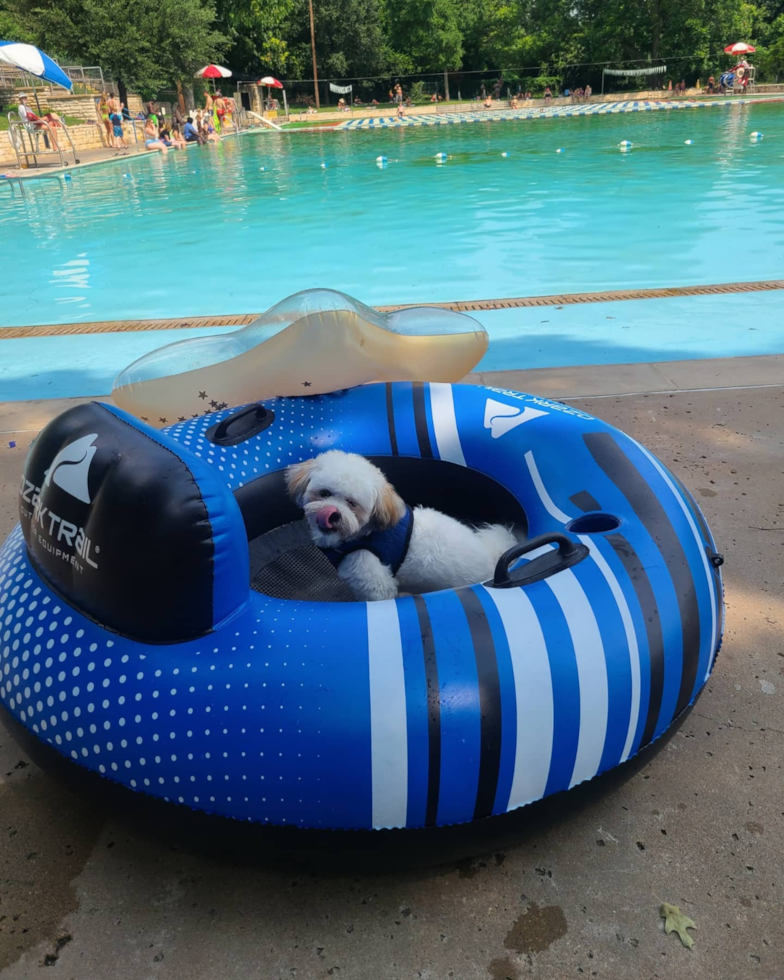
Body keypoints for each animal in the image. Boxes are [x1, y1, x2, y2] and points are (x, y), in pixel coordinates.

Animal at [284, 450, 516, 600]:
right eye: (324, 493)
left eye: (352, 503)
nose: (333, 514)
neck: (364, 535)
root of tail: (491, 557)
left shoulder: (374, 581)